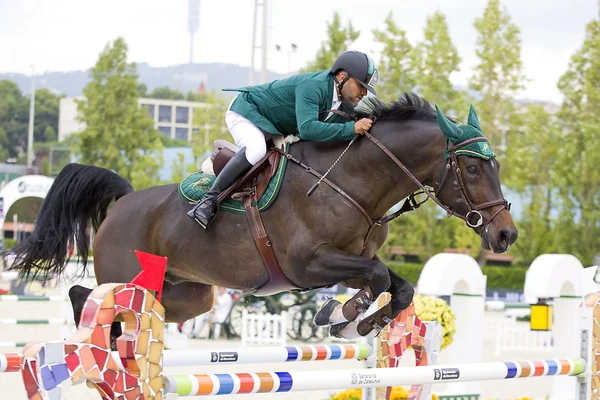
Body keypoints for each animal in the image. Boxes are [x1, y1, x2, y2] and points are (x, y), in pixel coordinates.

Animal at [3, 93, 516, 340]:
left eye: (494, 166)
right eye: (473, 168)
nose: (506, 235)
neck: (351, 183)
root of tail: (126, 200)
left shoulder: (348, 263)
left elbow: (397, 285)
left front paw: (355, 322)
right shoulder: (310, 264)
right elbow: (376, 278)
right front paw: (340, 314)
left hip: (189, 295)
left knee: (150, 309)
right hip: (127, 274)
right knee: (85, 295)